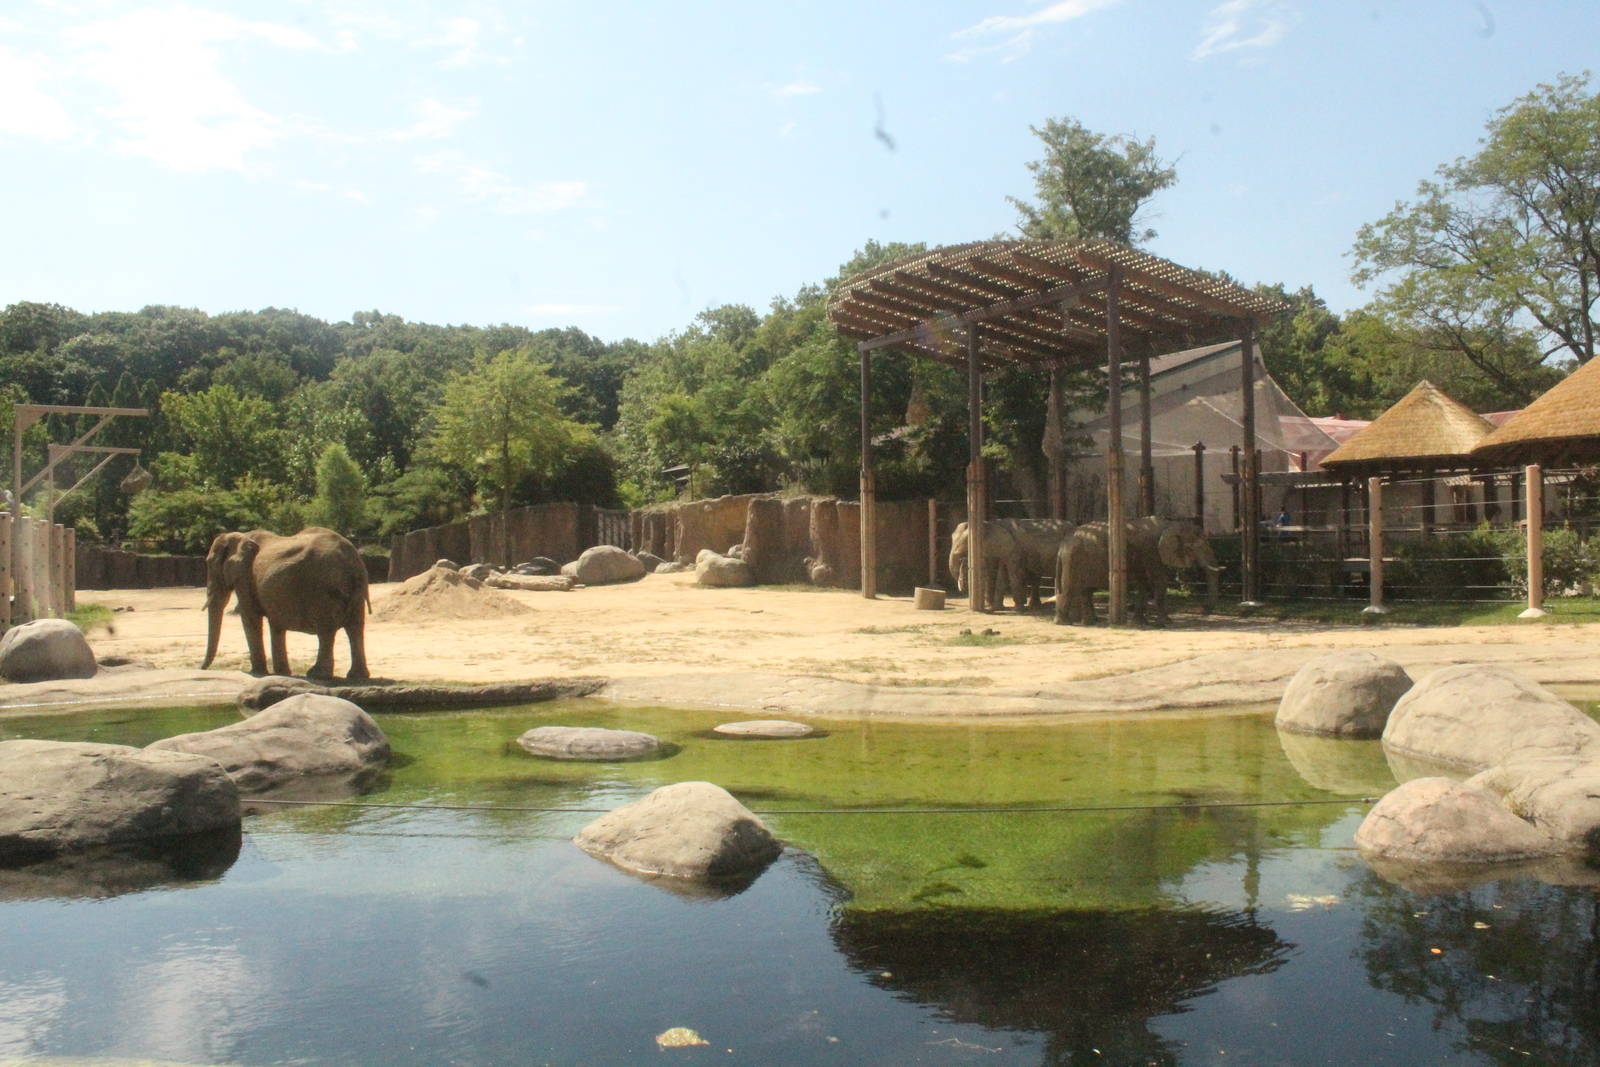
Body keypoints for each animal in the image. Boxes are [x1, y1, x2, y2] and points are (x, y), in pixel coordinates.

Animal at [201, 527, 371, 680]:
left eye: (210, 563)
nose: (203, 668)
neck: (239, 536)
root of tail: (350, 559)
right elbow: (276, 624)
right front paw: (282, 673)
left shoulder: (244, 575)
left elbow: (250, 616)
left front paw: (258, 672)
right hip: (357, 588)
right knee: (355, 628)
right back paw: (357, 676)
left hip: (323, 588)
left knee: (326, 631)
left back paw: (317, 675)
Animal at [1054, 516, 1222, 627]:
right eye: (1194, 548)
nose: (1203, 609)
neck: (1171, 524)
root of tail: (1062, 545)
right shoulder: (1151, 551)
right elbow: (1159, 581)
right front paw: (1167, 623)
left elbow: (1144, 584)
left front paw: (1139, 623)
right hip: (1074, 560)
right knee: (1070, 589)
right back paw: (1065, 623)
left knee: (1085, 591)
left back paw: (1088, 623)